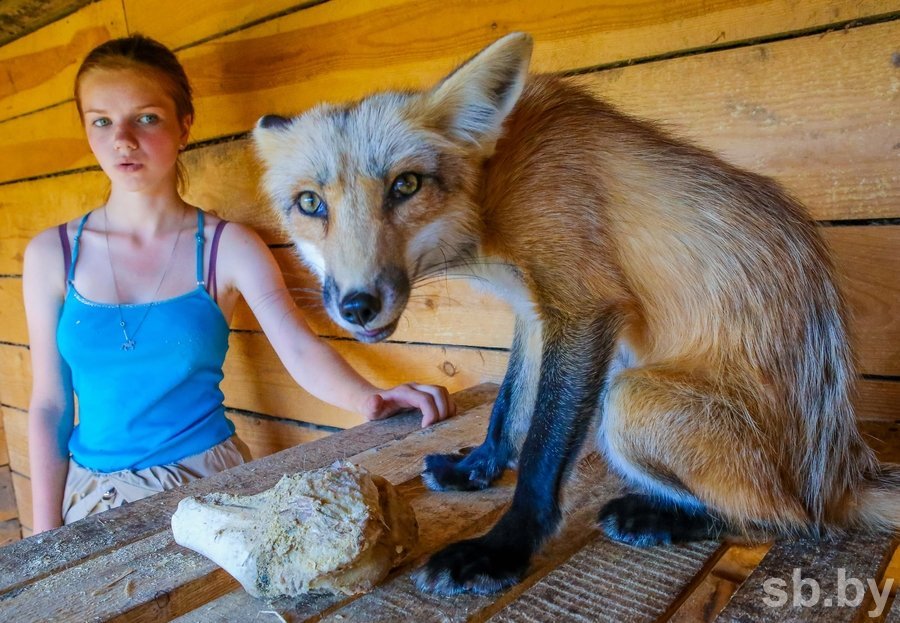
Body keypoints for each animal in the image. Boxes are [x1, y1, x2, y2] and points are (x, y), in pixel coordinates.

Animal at [251, 33, 900, 596]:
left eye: (406, 185)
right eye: (310, 203)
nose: (357, 304)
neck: (495, 193)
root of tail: (843, 470)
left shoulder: (584, 306)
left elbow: (541, 451)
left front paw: (503, 548)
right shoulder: (535, 312)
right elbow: (509, 408)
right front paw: (480, 468)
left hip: (629, 399)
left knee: (789, 519)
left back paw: (661, 518)